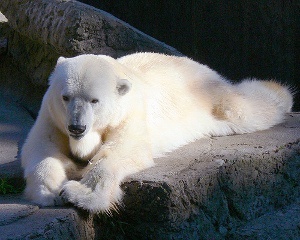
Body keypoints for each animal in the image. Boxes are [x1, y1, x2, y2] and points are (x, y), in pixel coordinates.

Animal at [21, 52, 292, 214]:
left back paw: (278, 91)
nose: (77, 127)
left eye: (94, 100)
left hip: (211, 97)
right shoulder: (52, 115)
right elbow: (41, 148)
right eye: (65, 97)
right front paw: (50, 191)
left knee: (244, 109)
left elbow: (122, 152)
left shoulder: (130, 114)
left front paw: (79, 194)